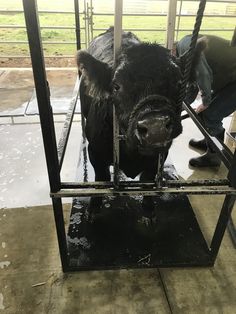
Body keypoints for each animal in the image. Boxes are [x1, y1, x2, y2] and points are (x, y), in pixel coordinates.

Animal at [77, 28, 184, 215]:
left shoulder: (160, 155)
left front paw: (148, 209)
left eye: (178, 84)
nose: (156, 127)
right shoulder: (94, 151)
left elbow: (148, 181)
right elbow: (101, 179)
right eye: (116, 86)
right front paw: (94, 208)